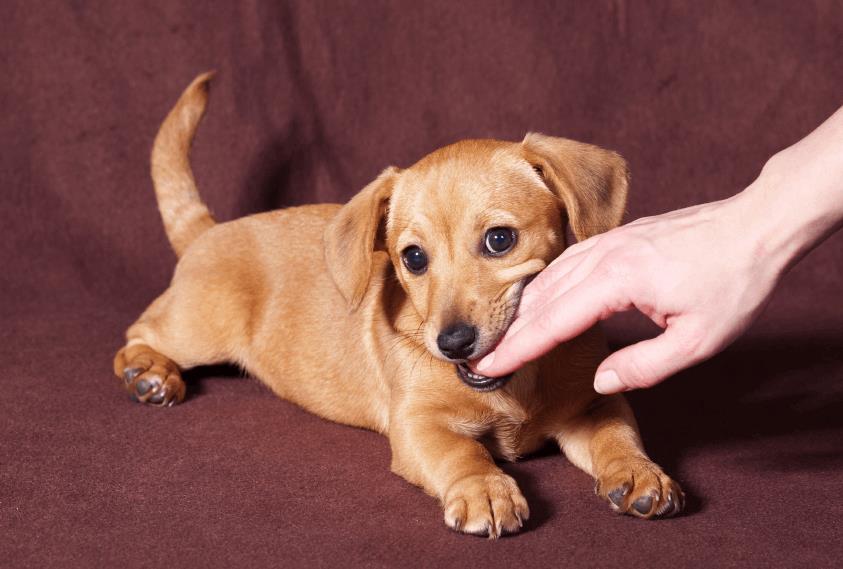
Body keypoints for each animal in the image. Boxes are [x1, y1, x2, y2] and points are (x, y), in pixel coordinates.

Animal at [115, 74, 684, 536]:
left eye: (500, 240)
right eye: (412, 257)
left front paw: (639, 472)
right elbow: (463, 452)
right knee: (137, 333)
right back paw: (150, 372)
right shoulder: (419, 425)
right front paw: (485, 488)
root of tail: (208, 231)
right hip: (198, 327)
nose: (452, 343)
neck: (513, 387)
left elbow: (618, 435)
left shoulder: (591, 405)